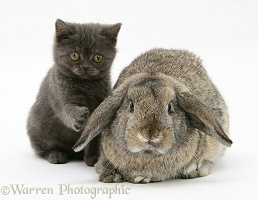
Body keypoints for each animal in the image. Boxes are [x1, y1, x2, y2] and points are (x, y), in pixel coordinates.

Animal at [26, 19, 121, 164]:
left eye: (98, 57)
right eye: (74, 55)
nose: (86, 67)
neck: (86, 85)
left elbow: (93, 136)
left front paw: (93, 158)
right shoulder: (60, 96)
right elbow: (68, 110)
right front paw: (79, 116)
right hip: (36, 125)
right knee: (42, 149)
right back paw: (55, 154)